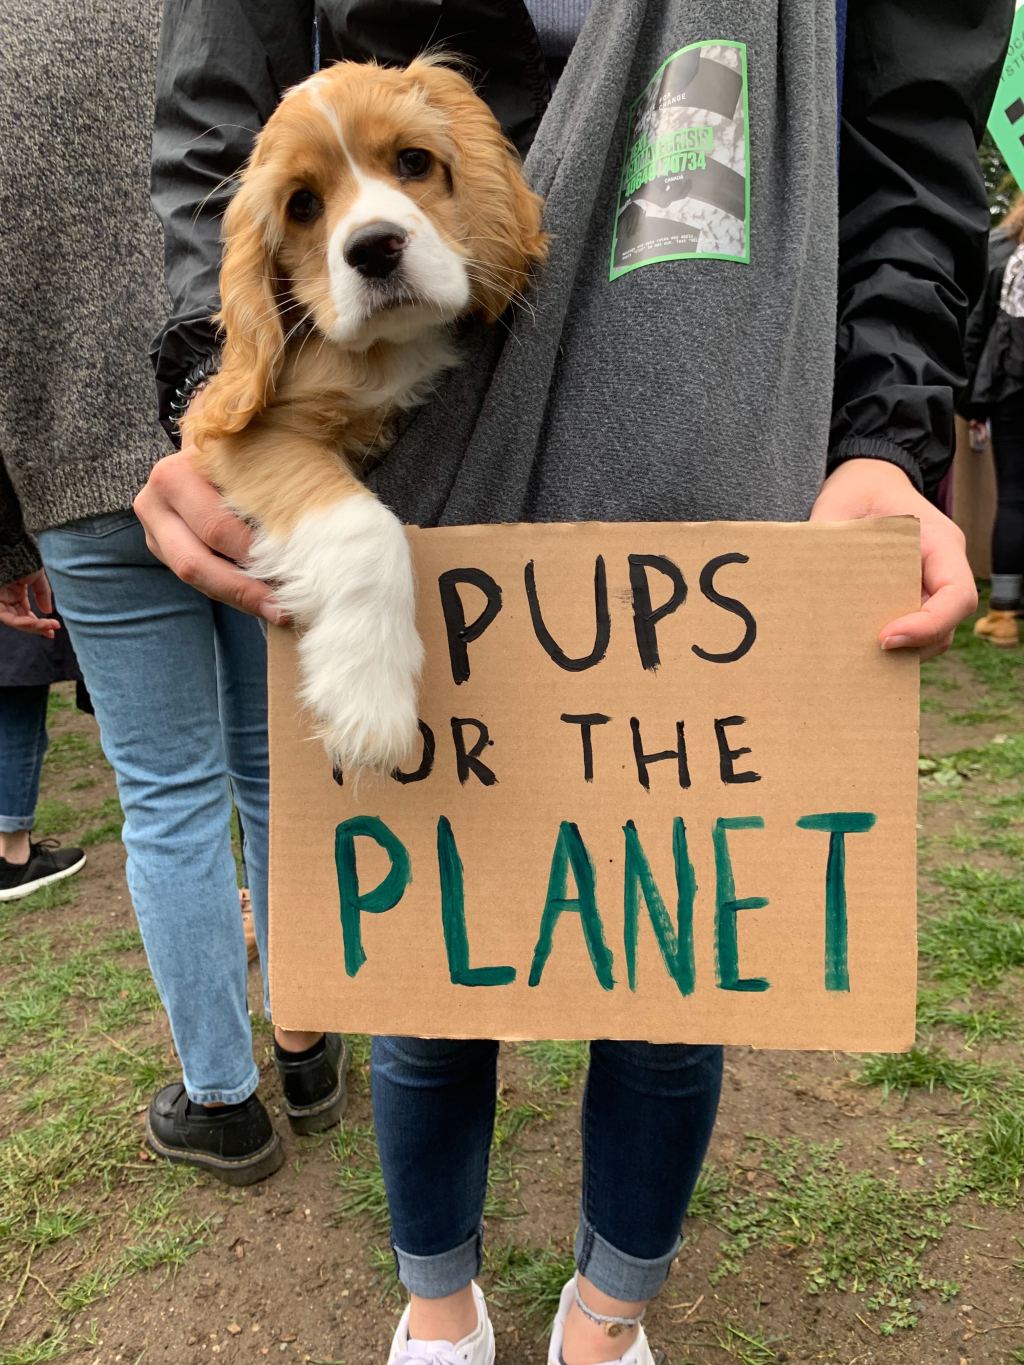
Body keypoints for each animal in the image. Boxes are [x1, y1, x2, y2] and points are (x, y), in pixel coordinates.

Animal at [187, 58, 548, 775]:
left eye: (413, 161)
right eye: (302, 204)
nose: (374, 248)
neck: (388, 350)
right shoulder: (246, 437)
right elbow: (364, 526)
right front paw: (370, 701)